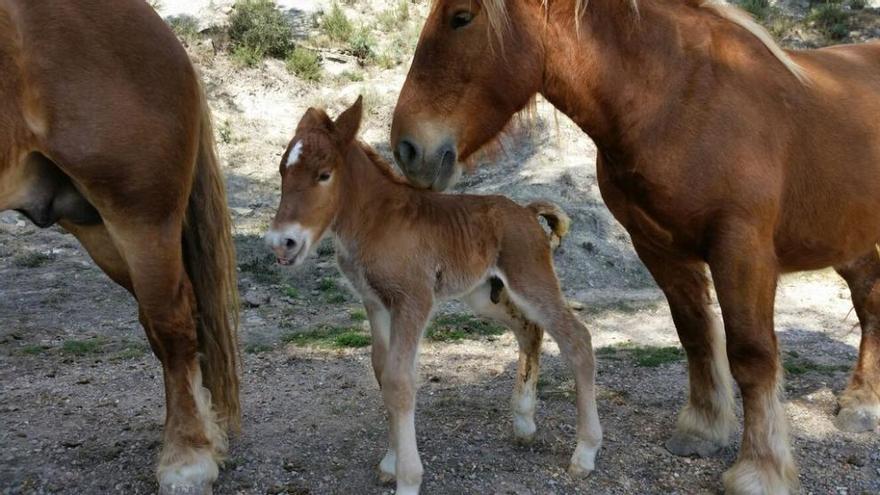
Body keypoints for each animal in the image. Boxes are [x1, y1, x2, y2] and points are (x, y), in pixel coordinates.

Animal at [264, 97, 600, 495]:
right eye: (283, 172)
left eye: (324, 174)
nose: (282, 243)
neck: (374, 222)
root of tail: (527, 212)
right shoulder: (375, 302)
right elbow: (383, 371)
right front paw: (391, 462)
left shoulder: (413, 300)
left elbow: (399, 380)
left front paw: (408, 478)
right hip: (483, 295)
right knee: (529, 331)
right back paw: (523, 423)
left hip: (530, 279)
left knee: (576, 338)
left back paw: (585, 453)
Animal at [392, 0, 880, 494]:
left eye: (461, 18)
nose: (407, 149)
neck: (682, 101)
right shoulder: (658, 248)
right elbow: (695, 335)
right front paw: (702, 429)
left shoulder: (742, 250)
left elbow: (751, 355)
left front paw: (759, 470)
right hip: (849, 243)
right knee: (870, 301)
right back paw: (863, 402)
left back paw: (859, 405)